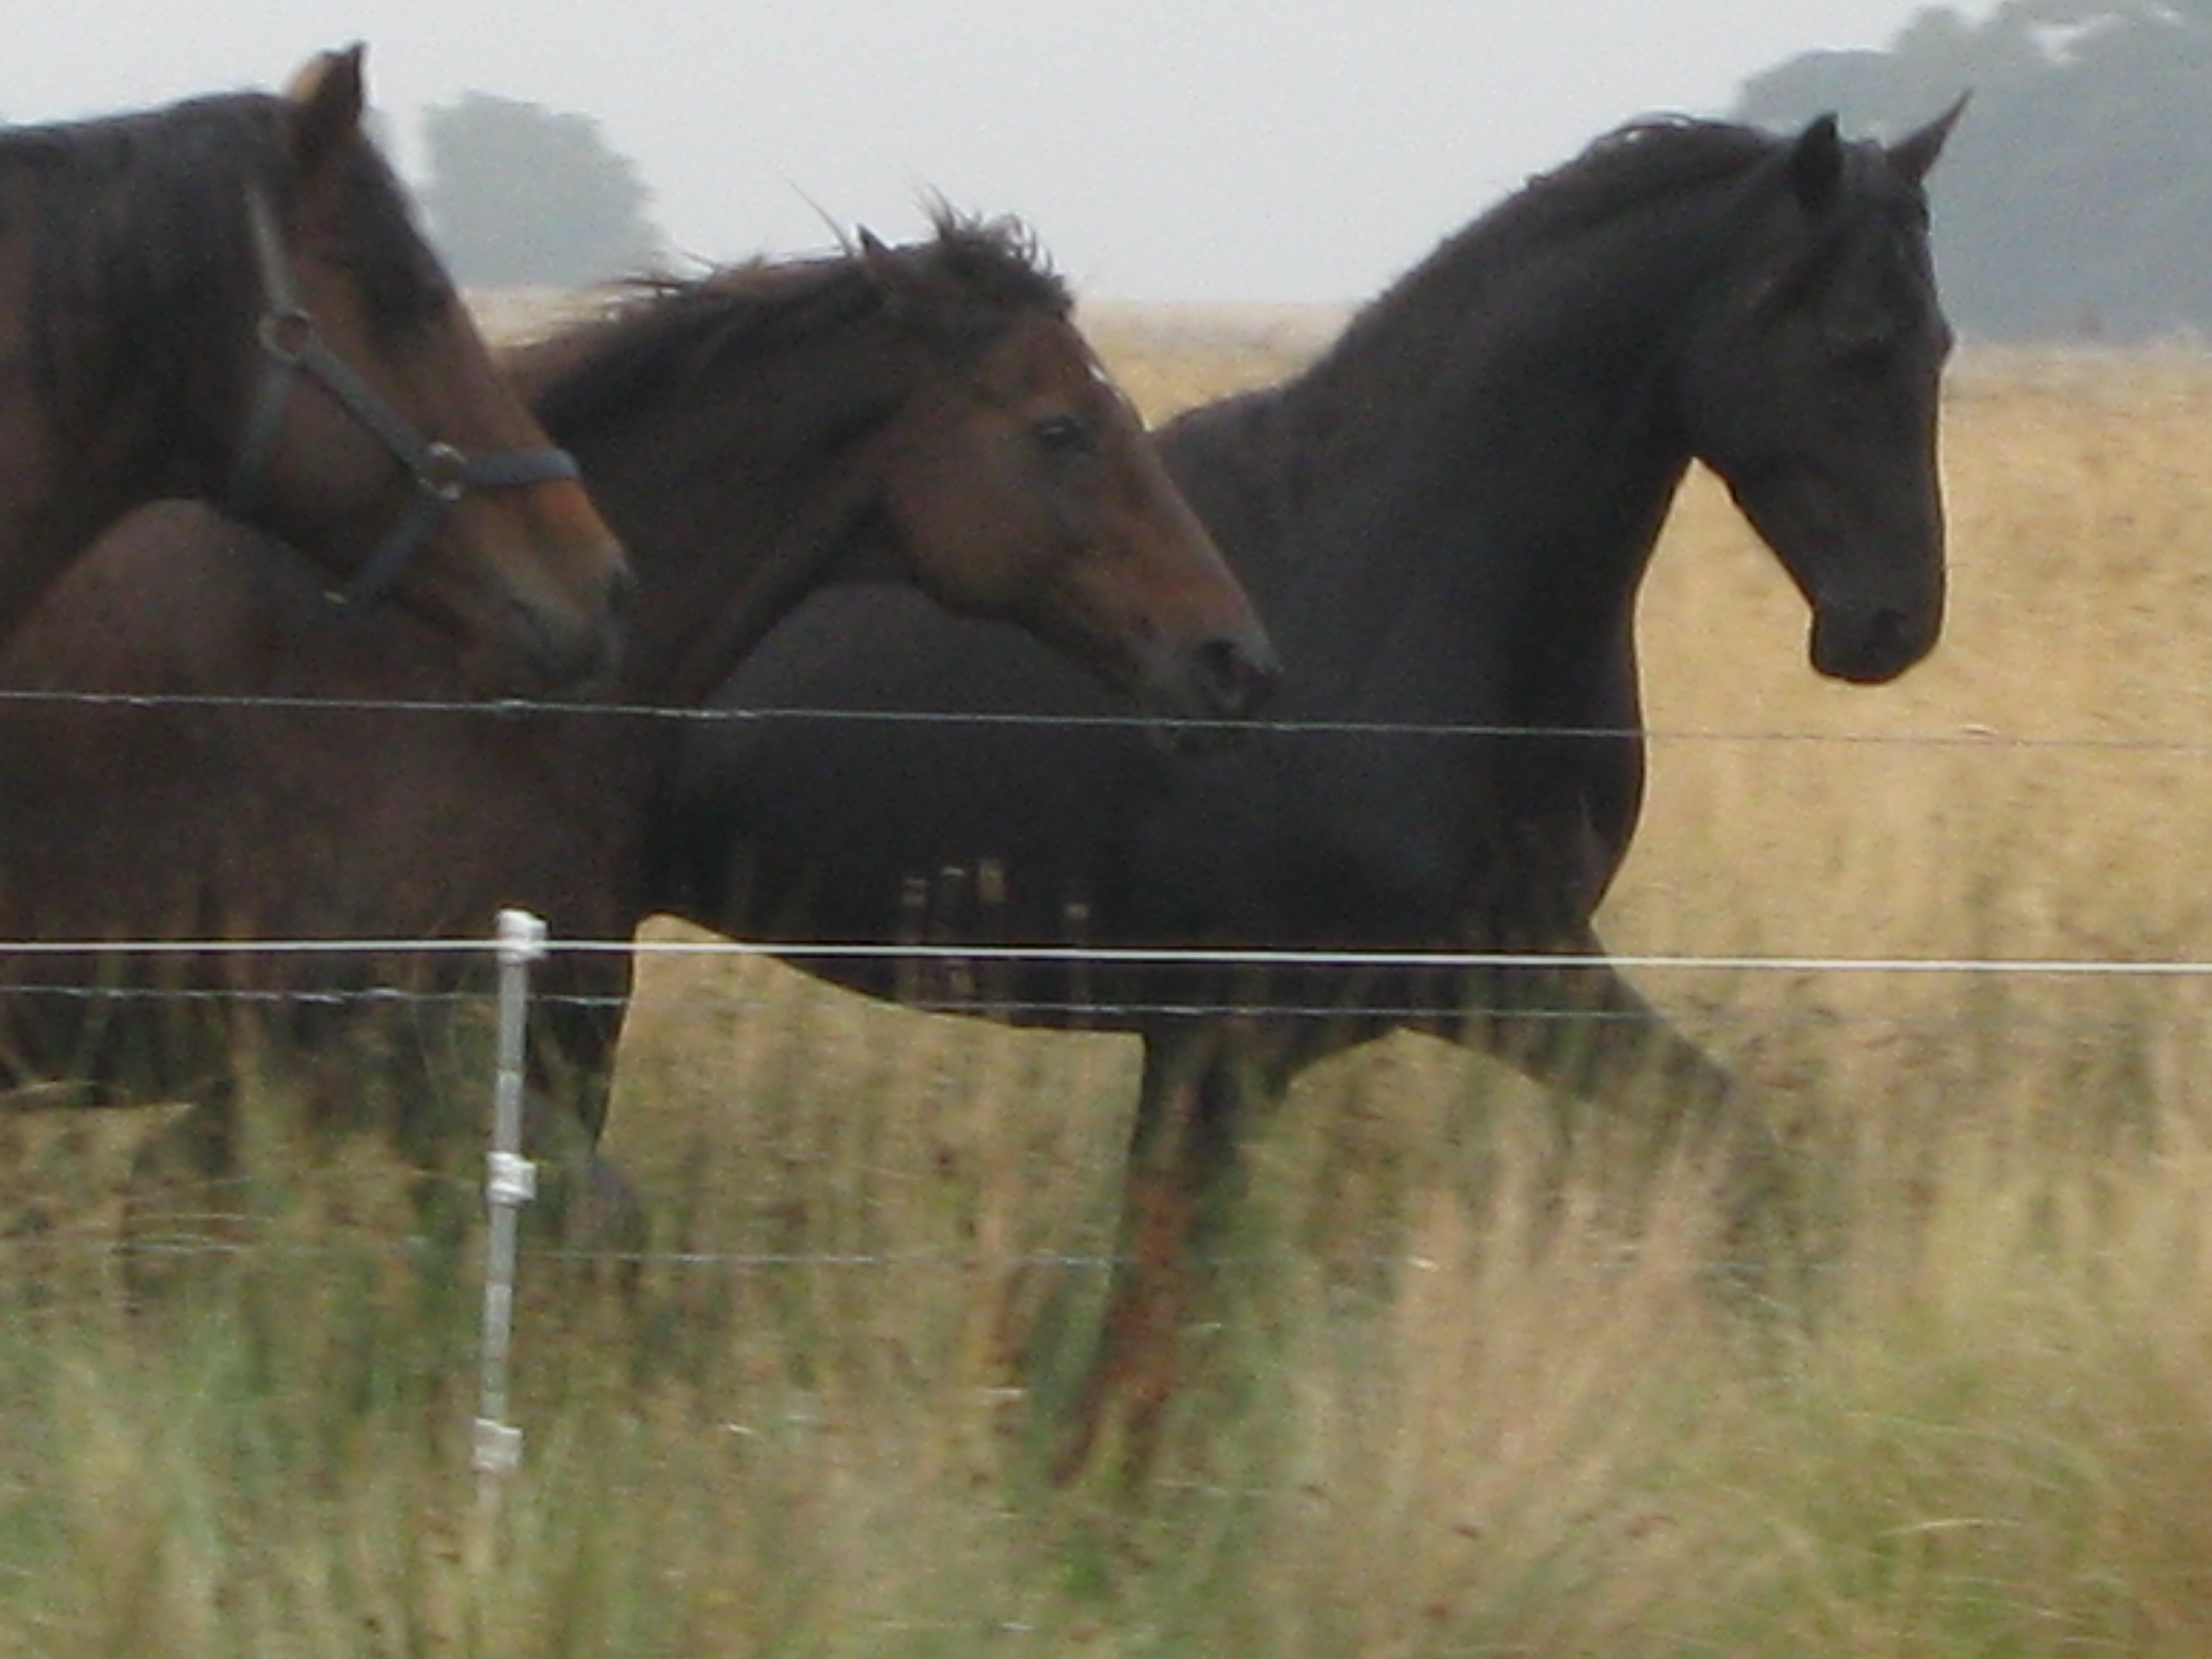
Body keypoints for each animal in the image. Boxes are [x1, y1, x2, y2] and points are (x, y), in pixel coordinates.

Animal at [650, 110, 1973, 1478]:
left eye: (1935, 341)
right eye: (1853, 338)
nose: (1891, 622)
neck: (1392, 583)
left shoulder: (1503, 969)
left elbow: (1724, 1133)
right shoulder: (1227, 1037)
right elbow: (1158, 1300)